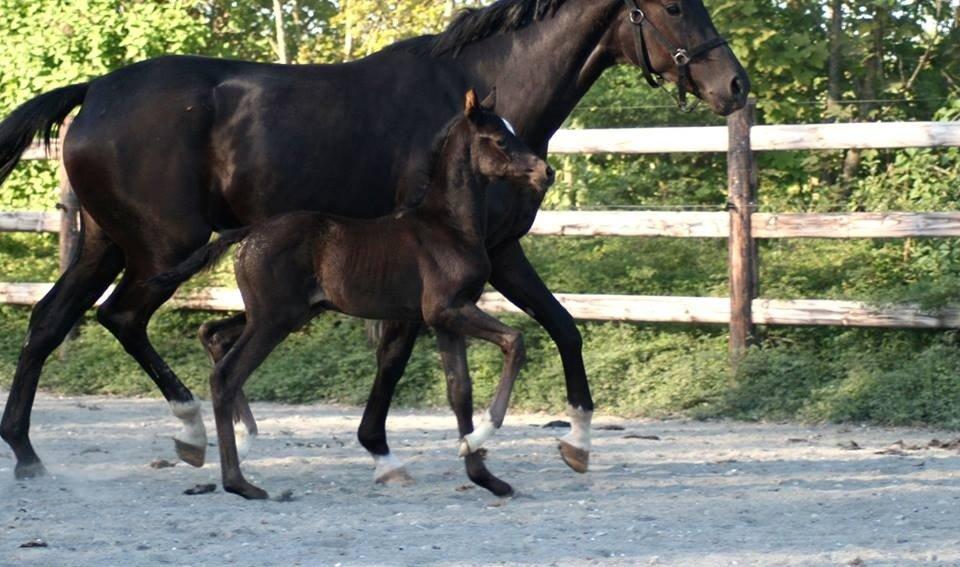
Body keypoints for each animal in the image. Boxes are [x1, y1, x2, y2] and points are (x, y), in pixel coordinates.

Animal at [153, 90, 552, 502]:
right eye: (500, 140)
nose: (546, 172)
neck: (449, 226)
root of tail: (249, 232)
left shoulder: (445, 318)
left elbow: (460, 389)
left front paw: (483, 472)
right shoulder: (448, 309)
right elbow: (515, 341)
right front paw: (484, 434)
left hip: (285, 314)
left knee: (213, 336)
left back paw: (243, 444)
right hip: (274, 319)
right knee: (226, 376)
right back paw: (239, 482)